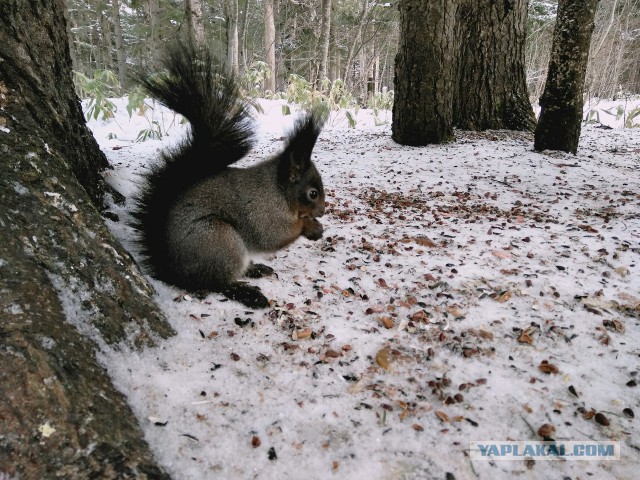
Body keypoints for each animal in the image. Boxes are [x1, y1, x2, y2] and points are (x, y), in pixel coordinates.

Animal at [132, 42, 328, 312]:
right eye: (313, 193)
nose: (323, 211)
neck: (278, 190)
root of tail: (174, 271)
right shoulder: (264, 212)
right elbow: (274, 236)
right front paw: (310, 226)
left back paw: (256, 269)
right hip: (219, 241)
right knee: (218, 283)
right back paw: (248, 293)